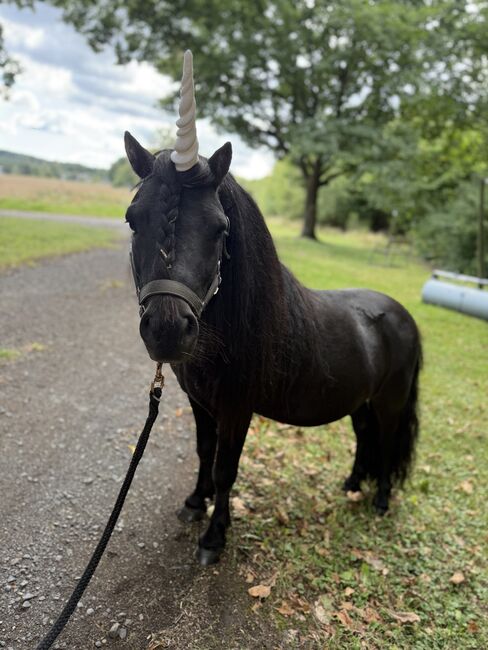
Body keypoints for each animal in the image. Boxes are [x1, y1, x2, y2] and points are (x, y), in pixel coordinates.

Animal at [124, 52, 422, 566]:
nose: (167, 330)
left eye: (220, 228)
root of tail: (402, 315)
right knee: (364, 436)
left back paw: (381, 500)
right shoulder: (201, 404)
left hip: (390, 401)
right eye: (131, 219)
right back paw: (351, 487)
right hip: (360, 400)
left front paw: (214, 536)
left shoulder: (237, 409)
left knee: (384, 442)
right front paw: (194, 504)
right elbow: (203, 455)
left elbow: (225, 469)